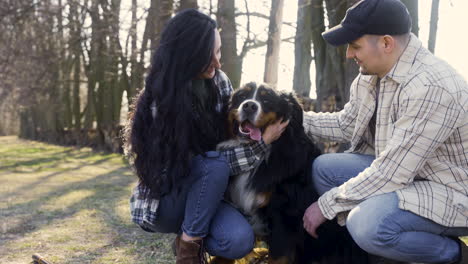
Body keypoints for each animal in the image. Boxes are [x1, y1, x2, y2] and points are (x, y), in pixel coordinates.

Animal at [217, 81, 370, 262]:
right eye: (242, 96)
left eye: (267, 100)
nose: (249, 106)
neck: (262, 154)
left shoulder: (283, 216)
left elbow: (277, 257)